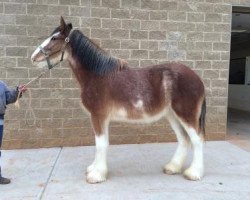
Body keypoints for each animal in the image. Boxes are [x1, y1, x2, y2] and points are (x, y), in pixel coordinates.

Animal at [31, 17, 206, 184]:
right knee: (184, 139)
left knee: (197, 140)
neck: (97, 75)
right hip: (172, 115)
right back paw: (173, 167)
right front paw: (94, 169)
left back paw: (194, 173)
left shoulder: (98, 116)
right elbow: (100, 143)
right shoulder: (100, 117)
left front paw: (96, 175)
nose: (33, 57)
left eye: (54, 38)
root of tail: (197, 79)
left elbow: (101, 144)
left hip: (186, 115)